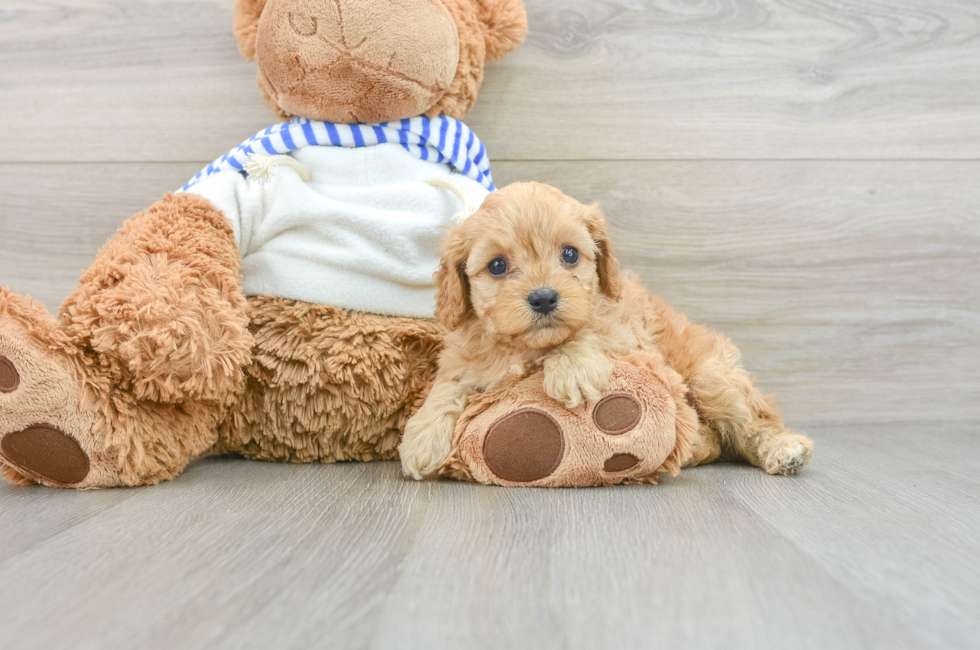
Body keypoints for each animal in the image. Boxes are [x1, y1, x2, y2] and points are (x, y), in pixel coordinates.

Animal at [396, 180, 812, 478]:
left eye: (569, 254)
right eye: (497, 265)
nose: (544, 298)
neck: (528, 348)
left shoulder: (628, 336)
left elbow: (589, 332)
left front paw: (572, 368)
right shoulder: (464, 357)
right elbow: (448, 386)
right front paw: (422, 437)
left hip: (712, 378)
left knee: (754, 422)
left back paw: (783, 449)